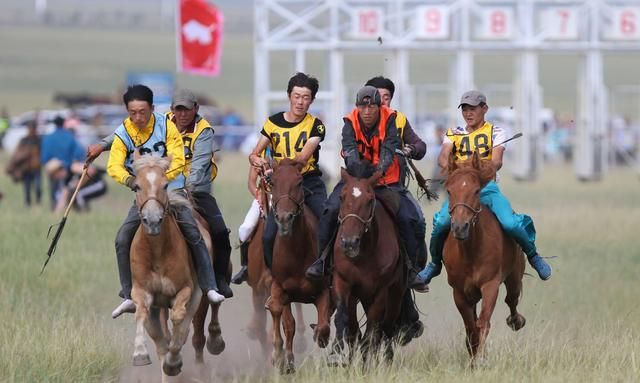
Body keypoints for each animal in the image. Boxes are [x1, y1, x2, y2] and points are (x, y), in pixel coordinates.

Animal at [129, 154, 201, 380]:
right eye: (137, 186)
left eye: (165, 184)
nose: (152, 221)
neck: (157, 251)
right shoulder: (141, 290)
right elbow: (141, 313)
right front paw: (140, 353)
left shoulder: (187, 289)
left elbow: (178, 319)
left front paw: (174, 361)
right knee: (160, 342)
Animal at [266, 158, 332, 374]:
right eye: (272, 181)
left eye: (299, 182)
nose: (284, 218)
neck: (296, 251)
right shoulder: (280, 288)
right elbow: (284, 318)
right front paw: (280, 358)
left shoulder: (324, 290)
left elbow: (323, 327)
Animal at [330, 166, 404, 364]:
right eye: (341, 197)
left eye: (370, 200)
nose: (349, 242)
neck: (364, 254)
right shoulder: (343, 282)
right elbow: (345, 322)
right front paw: (336, 354)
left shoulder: (381, 291)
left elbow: (372, 332)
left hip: (396, 292)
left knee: (386, 329)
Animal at [442, 152, 528, 362]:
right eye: (449, 191)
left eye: (475, 191)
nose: (460, 227)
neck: (470, 252)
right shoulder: (459, 292)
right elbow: (471, 328)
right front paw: (473, 359)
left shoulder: (490, 285)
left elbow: (483, 323)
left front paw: (479, 359)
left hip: (514, 277)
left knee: (511, 299)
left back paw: (516, 320)